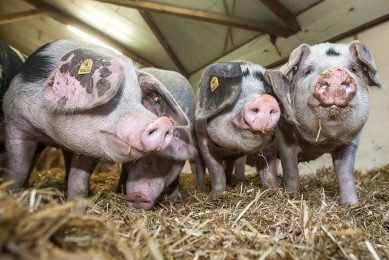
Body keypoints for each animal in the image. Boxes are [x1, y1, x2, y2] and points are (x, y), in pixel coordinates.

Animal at [0, 39, 183, 200]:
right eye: (112, 94)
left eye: (140, 99)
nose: (164, 123)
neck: (51, 133)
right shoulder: (14, 122)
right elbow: (18, 170)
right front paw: (9, 193)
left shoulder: (88, 150)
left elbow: (78, 184)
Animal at [192, 62, 296, 192]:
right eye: (237, 92)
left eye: (268, 92)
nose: (265, 101)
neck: (230, 148)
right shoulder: (203, 140)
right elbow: (216, 170)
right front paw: (217, 193)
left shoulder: (271, 143)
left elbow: (269, 169)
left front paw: (272, 189)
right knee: (200, 167)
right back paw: (202, 189)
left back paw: (234, 183)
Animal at [255, 40, 382, 205]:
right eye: (308, 71)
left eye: (354, 69)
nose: (335, 73)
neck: (321, 143)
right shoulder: (284, 140)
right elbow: (291, 171)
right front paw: (292, 197)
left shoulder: (351, 143)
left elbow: (345, 173)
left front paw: (351, 204)